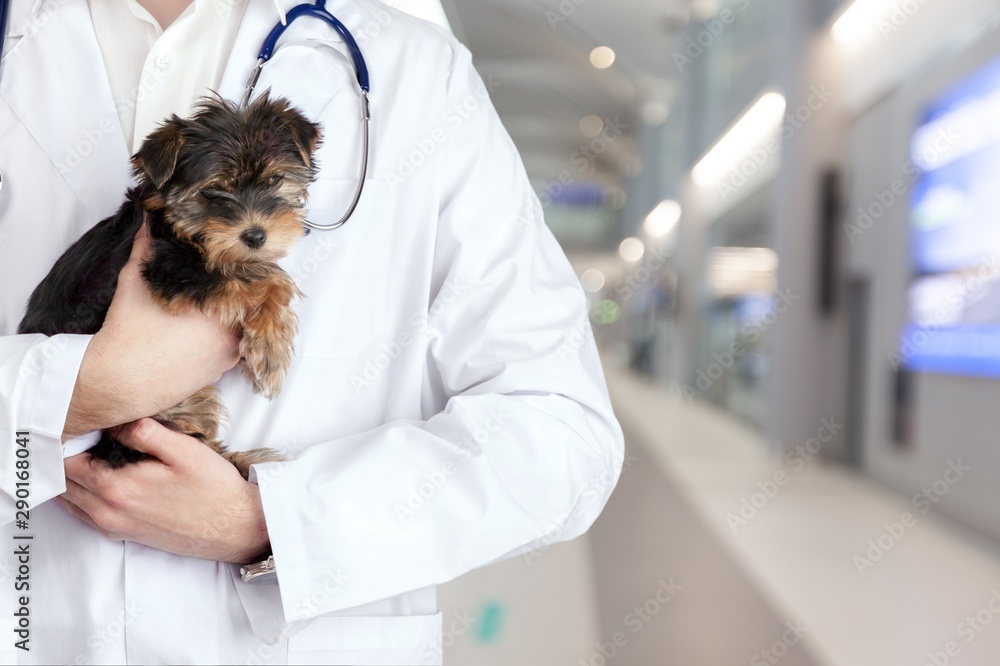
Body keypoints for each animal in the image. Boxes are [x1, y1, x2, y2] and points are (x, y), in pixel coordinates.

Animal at [18, 93, 320, 478]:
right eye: (213, 191)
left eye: (274, 180)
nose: (255, 236)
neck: (181, 226)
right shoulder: (171, 270)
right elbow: (265, 279)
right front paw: (271, 352)